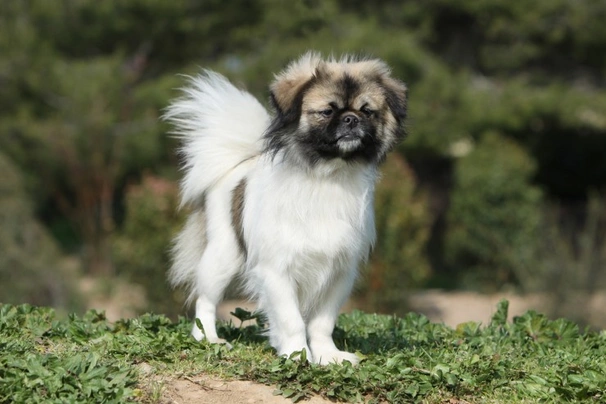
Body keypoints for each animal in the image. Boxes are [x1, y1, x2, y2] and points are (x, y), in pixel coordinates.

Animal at [165, 52, 408, 364]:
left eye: (368, 111)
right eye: (327, 111)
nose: (351, 119)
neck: (328, 176)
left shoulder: (340, 271)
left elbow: (322, 323)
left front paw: (328, 356)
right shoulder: (276, 270)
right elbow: (291, 320)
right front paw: (297, 355)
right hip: (222, 256)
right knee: (205, 301)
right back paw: (209, 339)